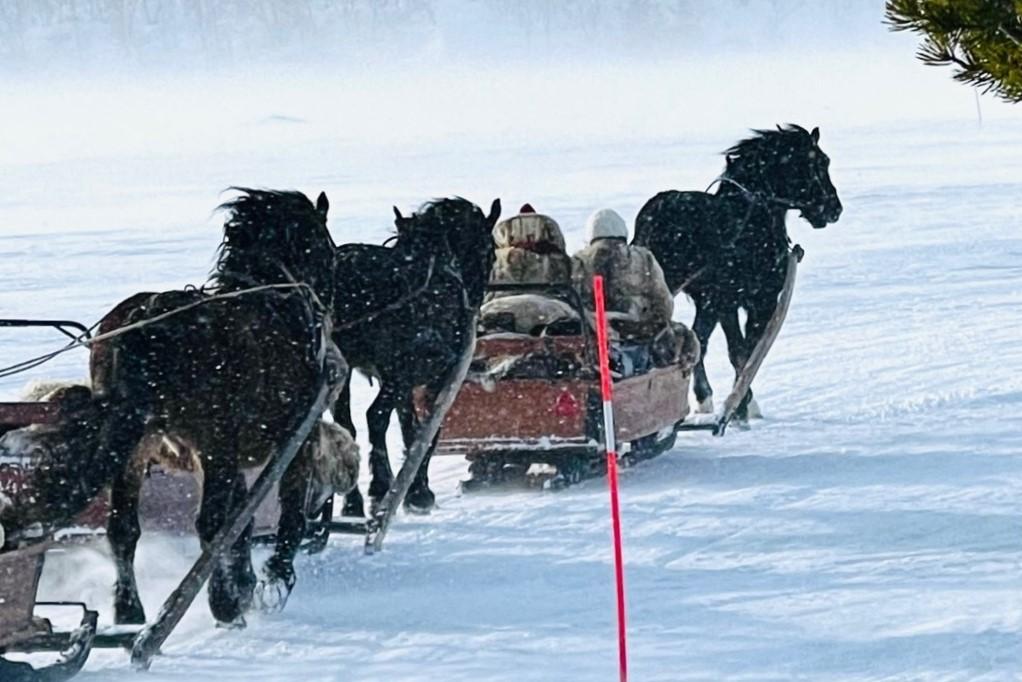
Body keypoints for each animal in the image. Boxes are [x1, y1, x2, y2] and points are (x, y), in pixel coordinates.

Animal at [86, 189, 339, 625]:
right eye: (327, 247)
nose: (328, 301)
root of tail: (144, 322)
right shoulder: (297, 437)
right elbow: (287, 513)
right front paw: (272, 578)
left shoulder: (233, 457)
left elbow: (244, 521)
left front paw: (246, 582)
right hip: (212, 444)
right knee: (210, 525)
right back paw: (223, 605)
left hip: (137, 448)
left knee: (122, 527)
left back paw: (130, 610)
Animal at [333, 196, 500, 511]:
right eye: (491, 251)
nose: (475, 301)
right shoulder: (434, 377)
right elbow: (426, 433)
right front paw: (419, 492)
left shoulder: (399, 381)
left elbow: (409, 428)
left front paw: (414, 488)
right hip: (399, 374)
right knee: (375, 416)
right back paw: (380, 486)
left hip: (347, 372)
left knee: (345, 426)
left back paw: (353, 502)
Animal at [633, 125, 842, 419]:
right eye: (820, 162)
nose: (834, 208)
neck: (754, 214)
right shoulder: (758, 301)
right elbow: (748, 352)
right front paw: (745, 406)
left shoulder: (723, 305)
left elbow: (735, 350)